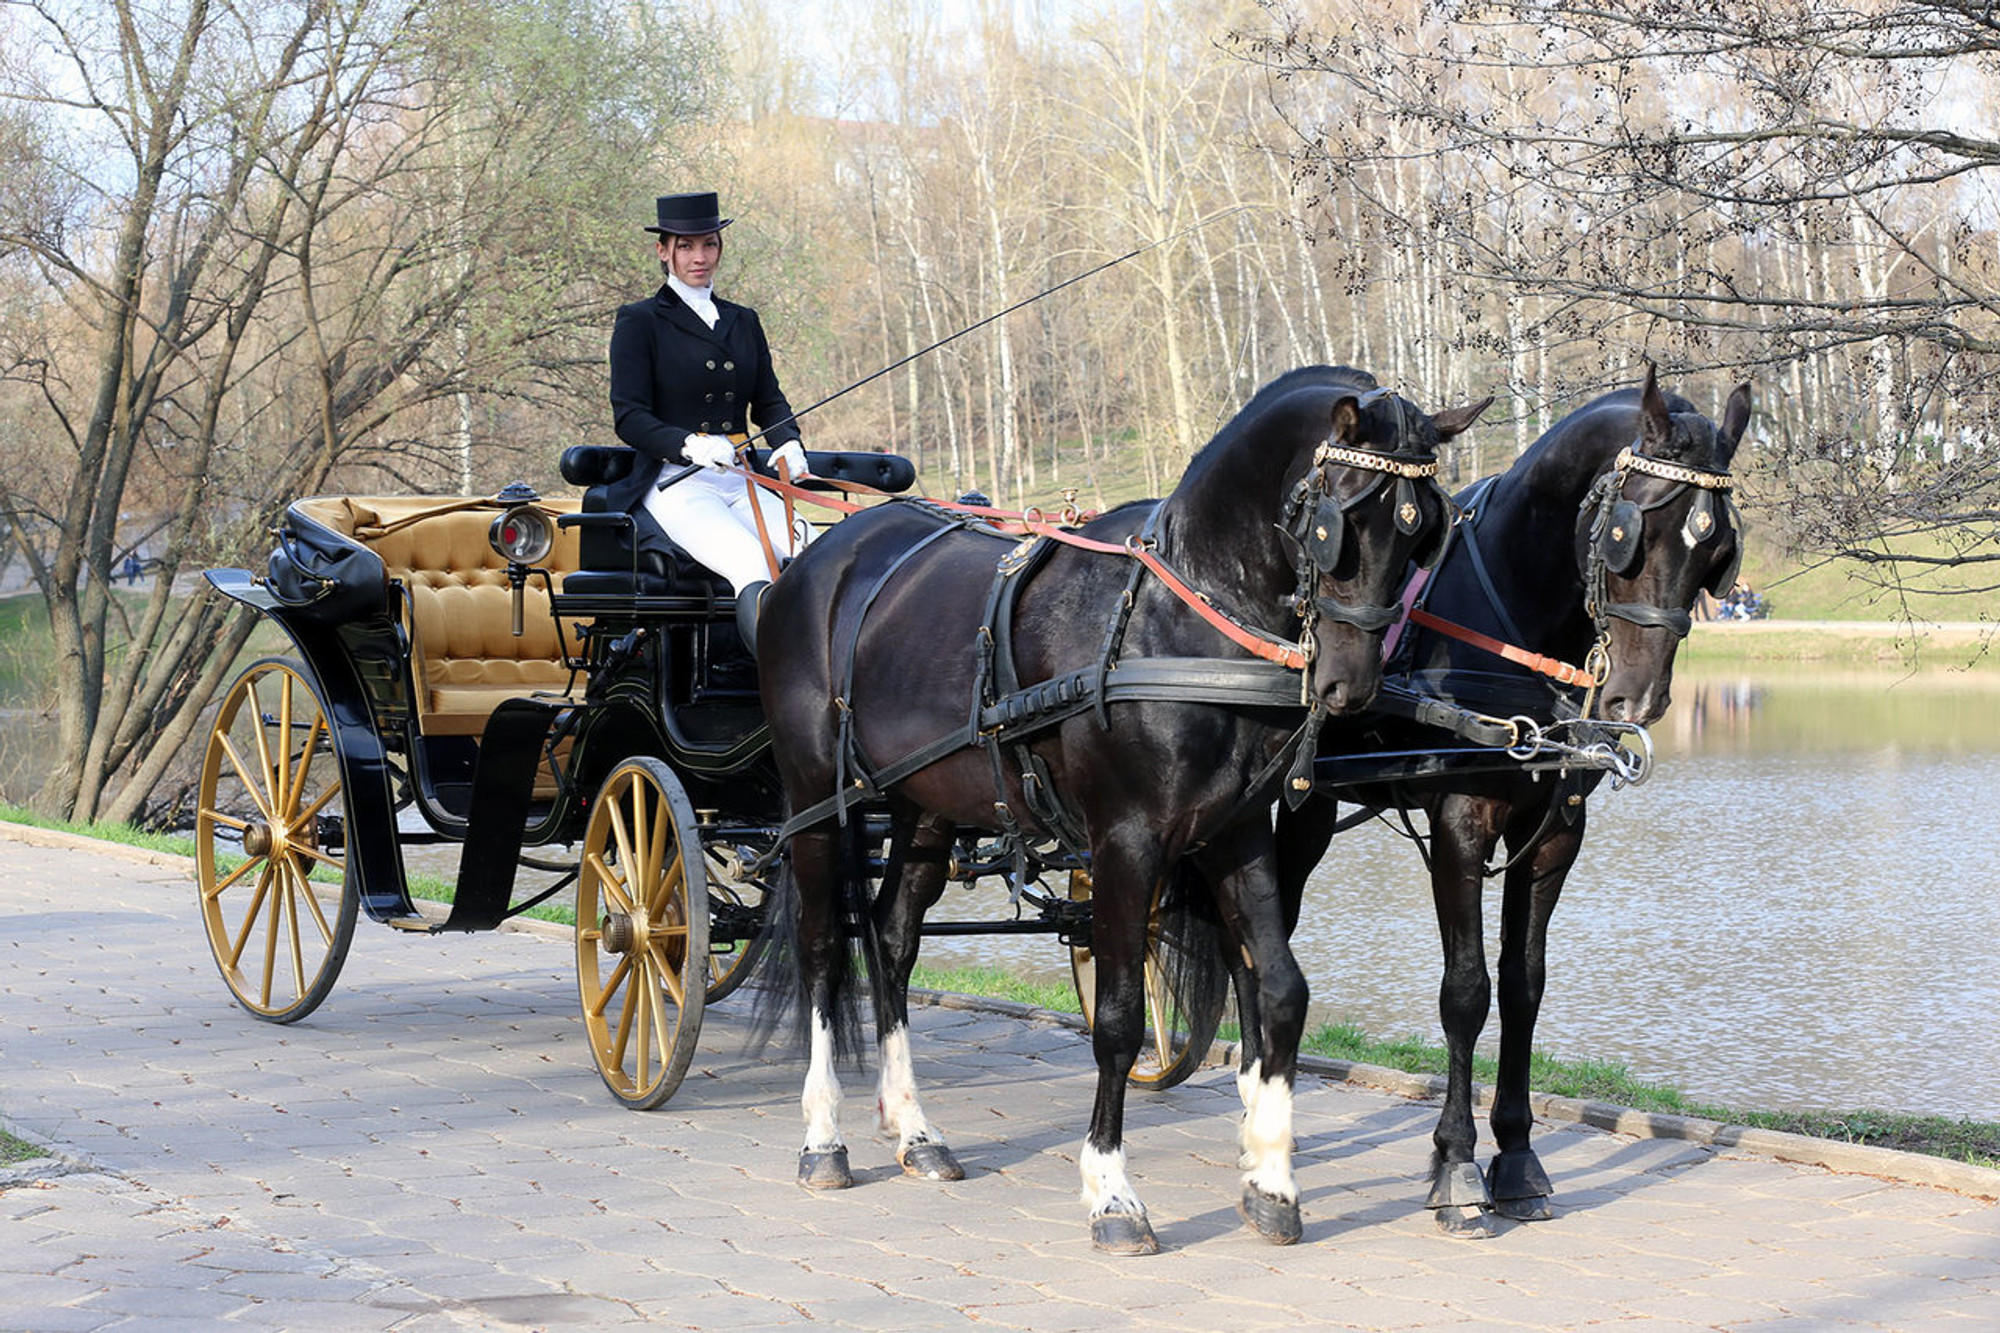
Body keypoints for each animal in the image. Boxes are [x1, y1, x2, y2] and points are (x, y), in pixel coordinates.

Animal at [756, 360, 1496, 1248]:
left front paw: (1272, 1182)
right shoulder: (1125, 843)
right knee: (825, 948)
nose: (1351, 687)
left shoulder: (1235, 832)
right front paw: (1112, 1192)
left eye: (1423, 538)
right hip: (816, 800)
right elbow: (1115, 1019)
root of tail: (815, 559)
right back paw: (822, 1137)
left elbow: (1281, 991)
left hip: (922, 802)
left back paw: (915, 1128)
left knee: (892, 935)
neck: (1180, 622)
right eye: (1338, 525)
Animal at [1264, 366, 1752, 1232]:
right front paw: (1458, 1163)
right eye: (1630, 534)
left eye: (1717, 553)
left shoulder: (1555, 832)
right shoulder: (1460, 824)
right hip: (1299, 809)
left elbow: (1524, 984)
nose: (1633, 700)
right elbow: (1466, 991)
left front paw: (1518, 1155)